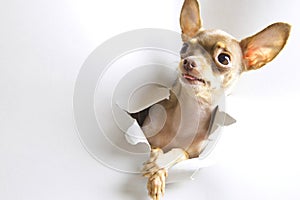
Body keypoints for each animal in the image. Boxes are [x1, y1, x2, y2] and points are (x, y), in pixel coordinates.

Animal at [135, 0, 290, 199]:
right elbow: (155, 147)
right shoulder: (145, 131)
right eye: (184, 48)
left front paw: (159, 166)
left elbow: (180, 151)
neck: (191, 111)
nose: (188, 62)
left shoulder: (194, 155)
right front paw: (156, 164)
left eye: (223, 58)